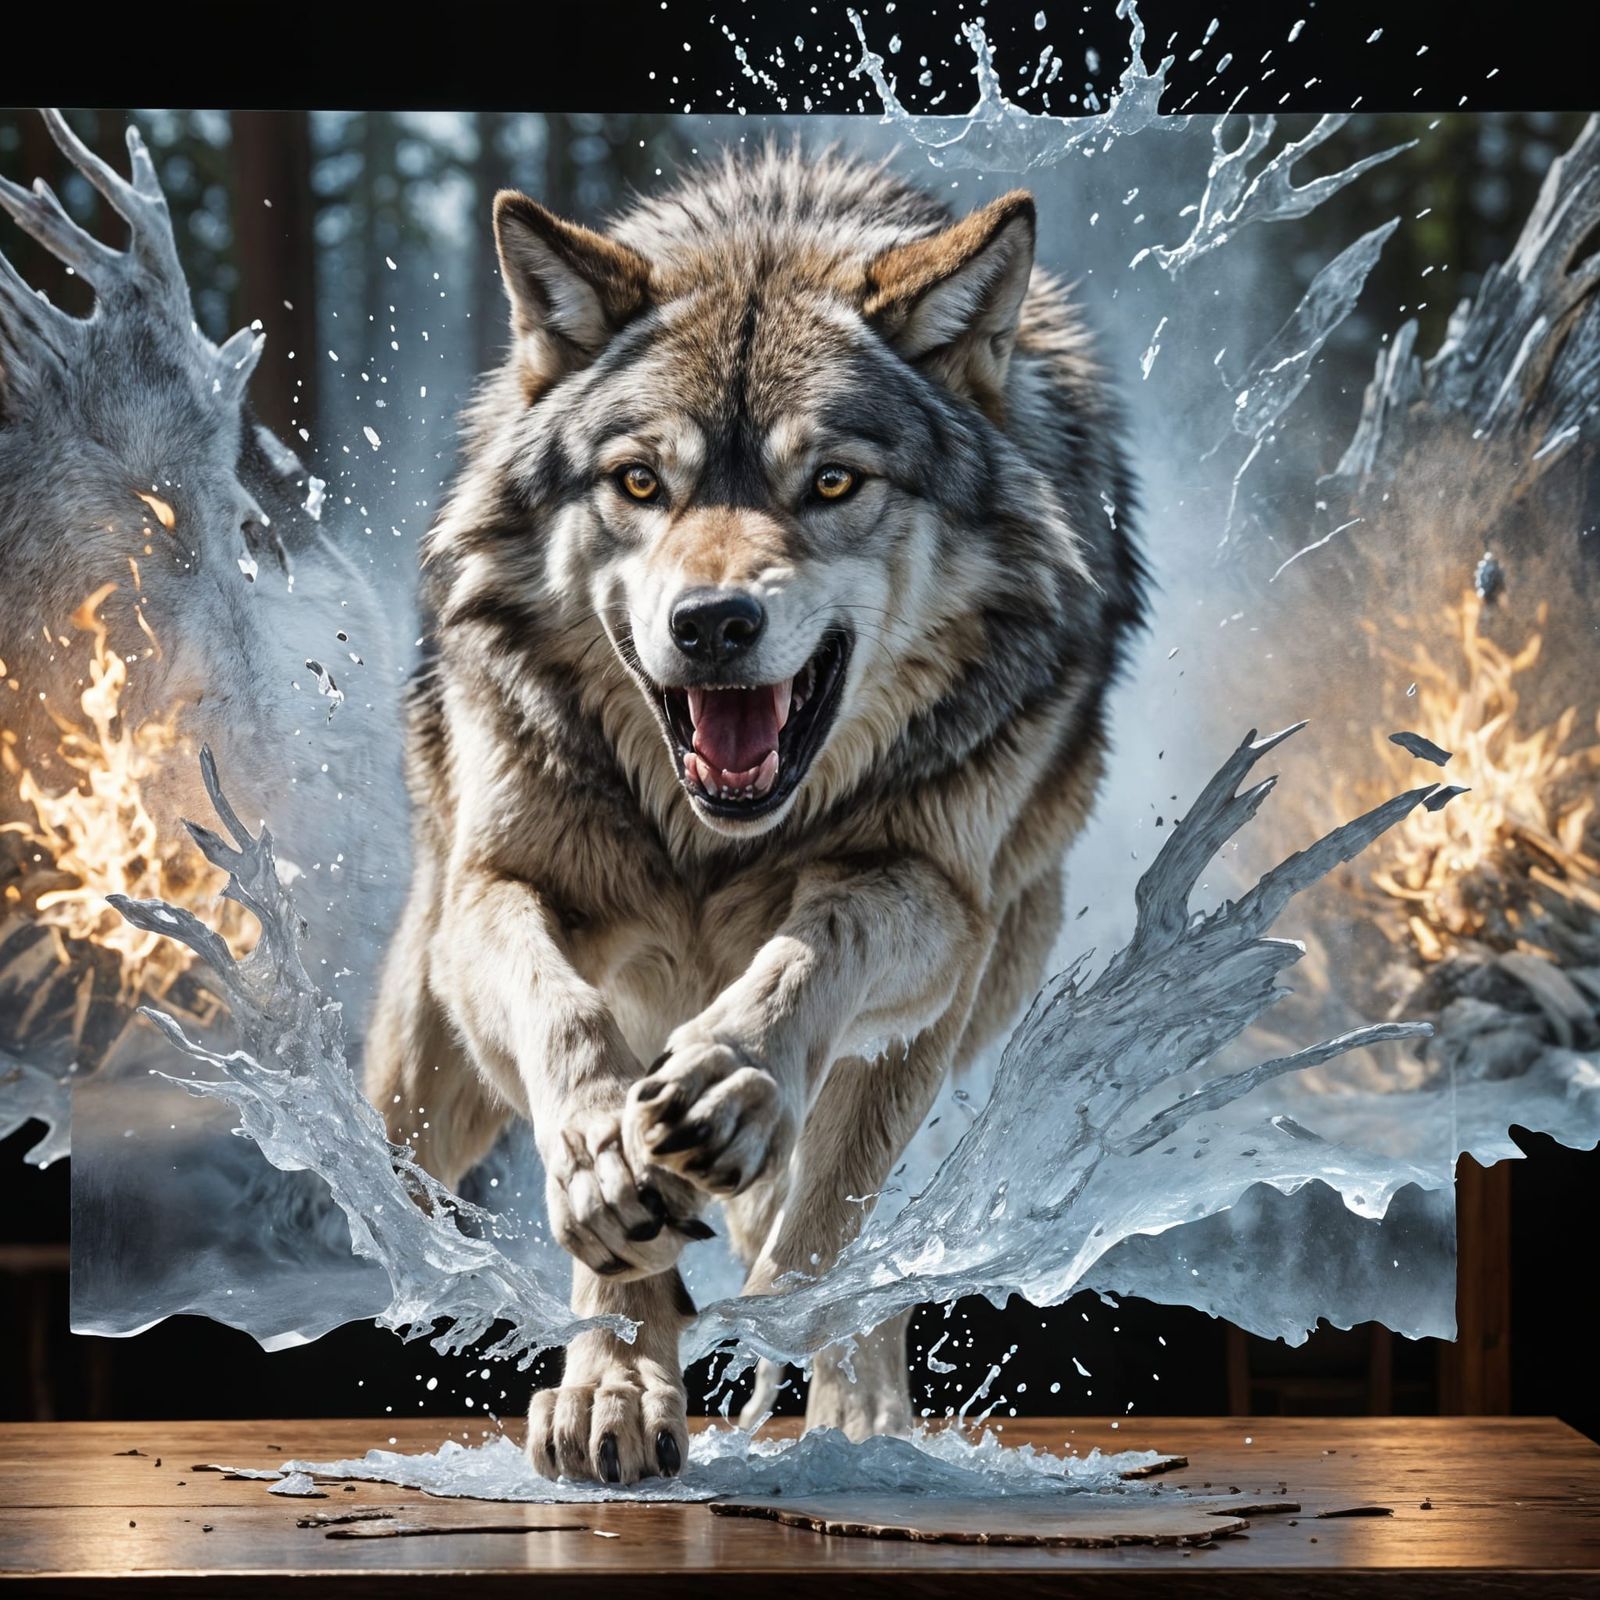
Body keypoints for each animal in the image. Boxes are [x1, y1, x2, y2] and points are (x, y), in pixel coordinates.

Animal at [367, 143, 1144, 1484]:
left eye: (831, 481)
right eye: (639, 482)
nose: (713, 623)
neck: (710, 845)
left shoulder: (925, 892)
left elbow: (807, 970)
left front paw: (730, 1083)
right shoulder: (499, 891)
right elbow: (567, 1023)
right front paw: (612, 1348)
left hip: (948, 999)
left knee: (831, 1211)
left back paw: (852, 1406)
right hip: (420, 1079)